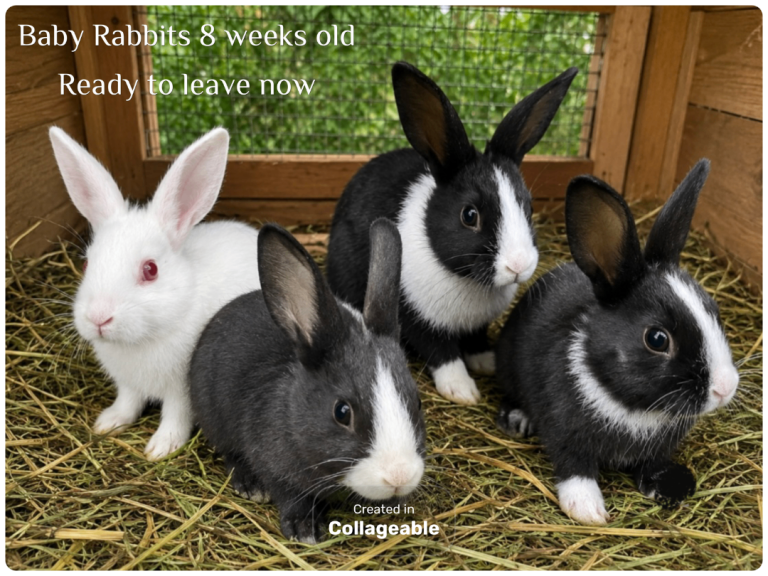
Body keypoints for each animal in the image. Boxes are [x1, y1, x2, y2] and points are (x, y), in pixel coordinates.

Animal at [49, 127, 261, 461]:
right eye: (86, 263)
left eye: (150, 269)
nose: (99, 318)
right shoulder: (127, 384)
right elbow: (128, 402)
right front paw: (108, 423)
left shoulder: (181, 391)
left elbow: (176, 416)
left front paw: (161, 448)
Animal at [189, 219, 426, 544]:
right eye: (342, 412)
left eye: (418, 401)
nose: (398, 477)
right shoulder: (276, 468)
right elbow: (291, 495)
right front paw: (305, 529)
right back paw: (249, 484)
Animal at [326, 61, 578, 405]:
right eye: (469, 215)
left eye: (527, 206)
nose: (518, 265)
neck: (469, 281)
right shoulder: (416, 319)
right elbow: (442, 352)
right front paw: (463, 390)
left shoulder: (478, 325)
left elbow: (475, 340)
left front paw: (486, 362)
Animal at [495, 159, 740, 525]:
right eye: (657, 339)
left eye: (713, 309)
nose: (725, 388)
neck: (633, 407)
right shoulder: (565, 433)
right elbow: (574, 465)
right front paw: (588, 510)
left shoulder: (659, 449)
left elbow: (652, 464)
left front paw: (667, 486)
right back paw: (517, 418)